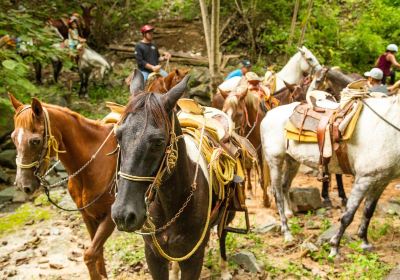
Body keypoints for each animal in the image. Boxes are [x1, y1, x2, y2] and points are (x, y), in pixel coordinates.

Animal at [9, 94, 115, 280]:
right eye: (13, 138)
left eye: (35, 141)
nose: (23, 185)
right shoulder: (88, 216)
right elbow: (98, 254)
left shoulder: (109, 217)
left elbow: (89, 255)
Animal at [111, 71, 238, 280]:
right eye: (118, 135)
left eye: (158, 141)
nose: (123, 215)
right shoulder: (153, 255)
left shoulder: (194, 259)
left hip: (227, 217)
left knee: (222, 237)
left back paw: (225, 269)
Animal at [260, 93, 400, 256]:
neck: (385, 128)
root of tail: (268, 114)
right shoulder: (364, 179)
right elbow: (348, 216)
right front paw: (334, 247)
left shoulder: (382, 180)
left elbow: (368, 211)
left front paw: (364, 242)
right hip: (275, 161)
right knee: (277, 194)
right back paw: (287, 232)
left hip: (292, 161)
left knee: (284, 186)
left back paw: (290, 214)